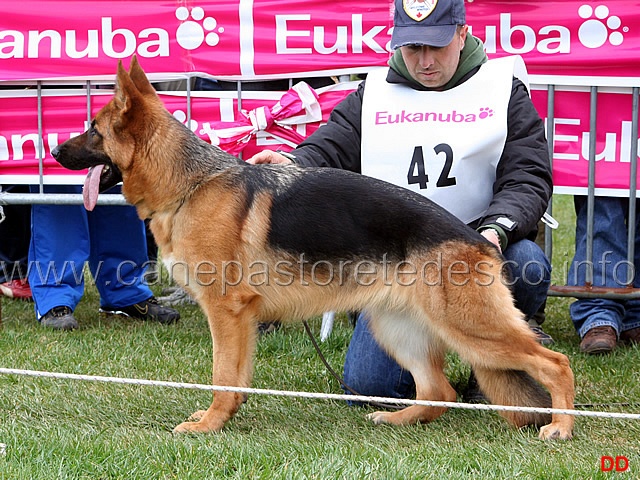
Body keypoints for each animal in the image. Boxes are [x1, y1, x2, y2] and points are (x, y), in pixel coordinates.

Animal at [52, 56, 576, 438]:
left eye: (93, 129)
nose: (53, 151)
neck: (190, 183)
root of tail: (478, 241)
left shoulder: (227, 311)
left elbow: (223, 376)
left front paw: (208, 424)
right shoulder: (239, 320)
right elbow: (236, 379)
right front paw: (224, 418)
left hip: (471, 327)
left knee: (555, 364)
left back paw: (562, 427)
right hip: (397, 327)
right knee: (438, 391)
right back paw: (395, 418)